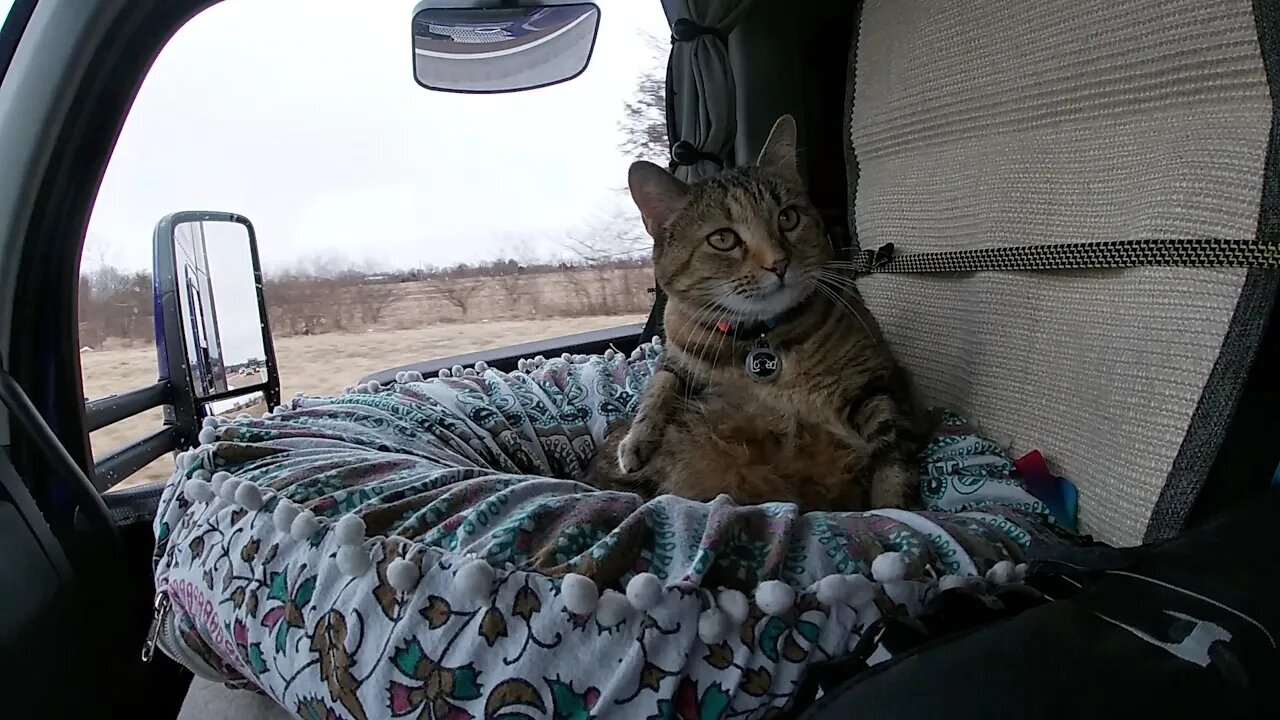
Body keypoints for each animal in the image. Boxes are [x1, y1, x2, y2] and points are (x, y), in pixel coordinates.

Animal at [588, 114, 931, 509]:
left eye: (788, 218)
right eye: (723, 239)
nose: (779, 263)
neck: (759, 338)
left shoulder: (877, 383)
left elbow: (893, 464)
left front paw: (896, 508)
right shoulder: (677, 349)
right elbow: (660, 384)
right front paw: (636, 441)